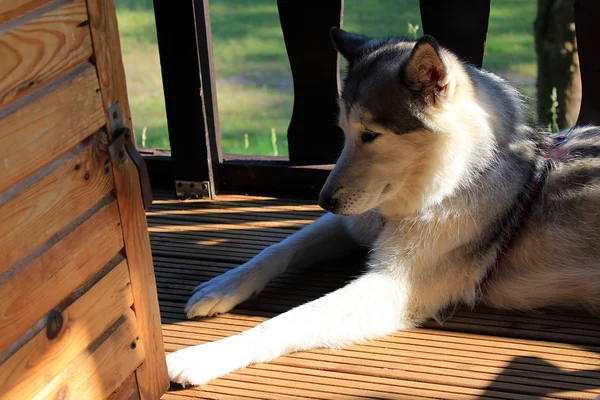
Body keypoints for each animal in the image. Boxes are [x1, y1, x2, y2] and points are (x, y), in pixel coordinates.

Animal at [164, 27, 600, 384]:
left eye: (371, 135)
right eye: (343, 132)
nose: (324, 200)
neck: (445, 185)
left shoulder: (393, 288)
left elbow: (291, 320)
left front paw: (206, 354)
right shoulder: (354, 223)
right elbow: (277, 249)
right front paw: (225, 285)